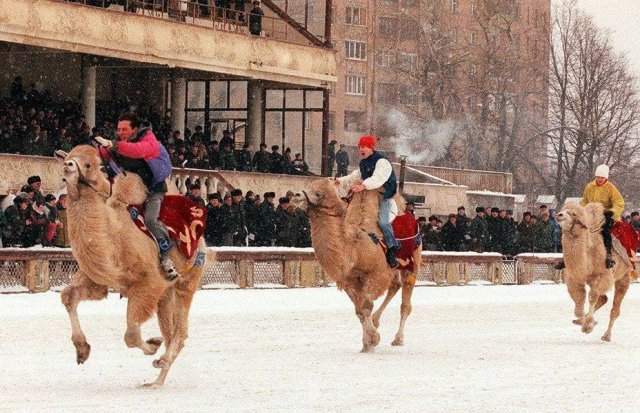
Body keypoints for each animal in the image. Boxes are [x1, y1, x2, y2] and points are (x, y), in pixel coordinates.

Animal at [57, 146, 206, 386]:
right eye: (69, 155)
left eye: (90, 164)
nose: (68, 165)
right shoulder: (101, 281)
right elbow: (69, 296)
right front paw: (82, 351)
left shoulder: (149, 283)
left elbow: (131, 334)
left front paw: (152, 346)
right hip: (166, 295)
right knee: (171, 331)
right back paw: (155, 382)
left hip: (188, 279)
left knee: (180, 330)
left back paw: (160, 363)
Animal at [298, 177, 422, 350]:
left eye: (318, 192)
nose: (297, 196)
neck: (355, 250)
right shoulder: (349, 281)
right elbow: (359, 310)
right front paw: (367, 343)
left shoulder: (377, 274)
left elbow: (366, 305)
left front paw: (373, 339)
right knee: (394, 286)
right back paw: (377, 321)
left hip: (412, 261)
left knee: (405, 302)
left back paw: (398, 339)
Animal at [556, 202, 636, 342]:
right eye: (563, 210)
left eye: (573, 214)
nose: (559, 215)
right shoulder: (573, 278)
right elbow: (579, 302)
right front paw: (585, 322)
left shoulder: (603, 276)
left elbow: (592, 297)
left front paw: (588, 326)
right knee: (603, 298)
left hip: (624, 277)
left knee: (614, 309)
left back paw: (606, 336)